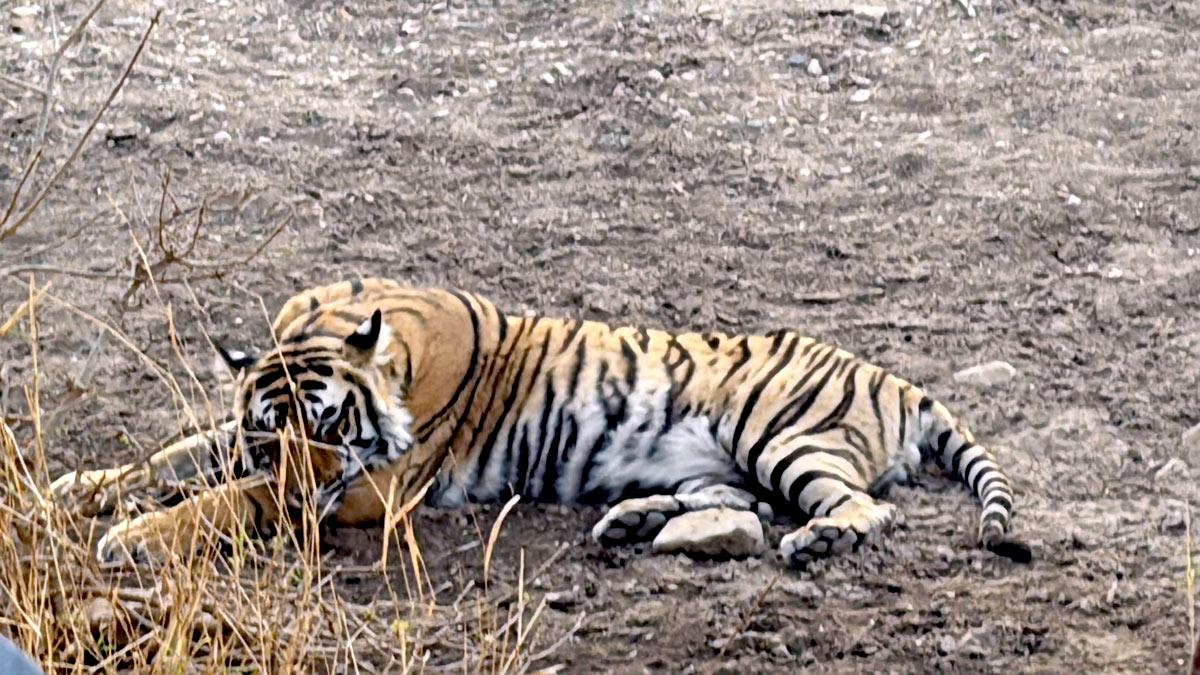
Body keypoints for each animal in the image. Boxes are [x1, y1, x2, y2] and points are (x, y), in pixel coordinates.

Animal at [51, 278, 1031, 568]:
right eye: (273, 431)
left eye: (331, 431)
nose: (302, 475)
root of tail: (892, 376)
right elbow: (177, 452)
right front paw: (77, 488)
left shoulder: (370, 489)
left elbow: (231, 499)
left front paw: (130, 535)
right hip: (715, 461)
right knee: (737, 511)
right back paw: (632, 522)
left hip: (777, 432)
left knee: (860, 508)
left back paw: (816, 541)